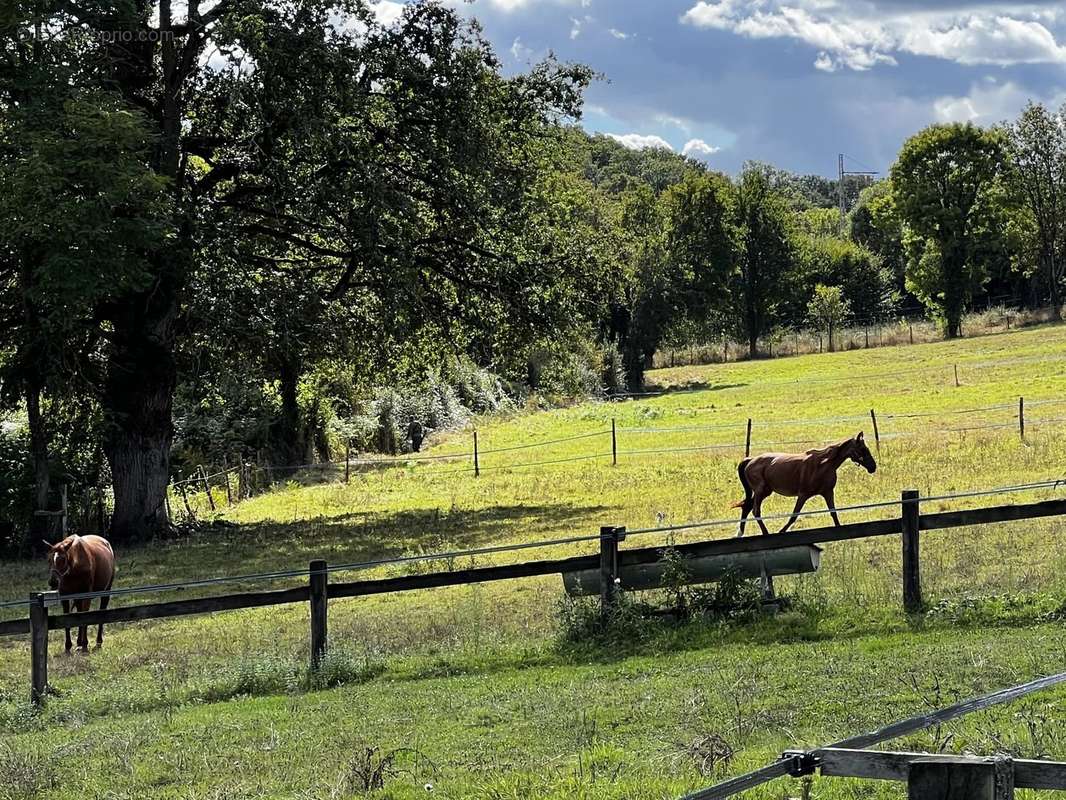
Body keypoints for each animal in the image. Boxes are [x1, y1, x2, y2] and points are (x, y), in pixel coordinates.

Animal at [737, 433, 878, 539]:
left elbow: (833, 513)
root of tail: (750, 460)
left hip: (764, 491)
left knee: (747, 507)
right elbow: (794, 516)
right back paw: (765, 533)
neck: (823, 465)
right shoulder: (803, 495)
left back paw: (740, 534)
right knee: (755, 511)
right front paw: (781, 532)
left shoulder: (828, 492)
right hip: (761, 491)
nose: (873, 467)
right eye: (863, 449)